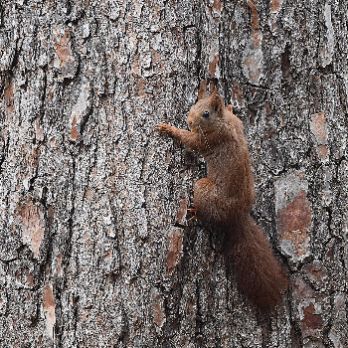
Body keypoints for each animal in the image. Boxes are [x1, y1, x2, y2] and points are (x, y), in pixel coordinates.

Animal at [157, 85, 288, 312]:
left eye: (205, 114)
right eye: (194, 105)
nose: (189, 121)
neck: (223, 122)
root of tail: (237, 215)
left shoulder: (209, 140)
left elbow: (190, 140)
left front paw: (168, 129)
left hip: (203, 188)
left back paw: (195, 211)